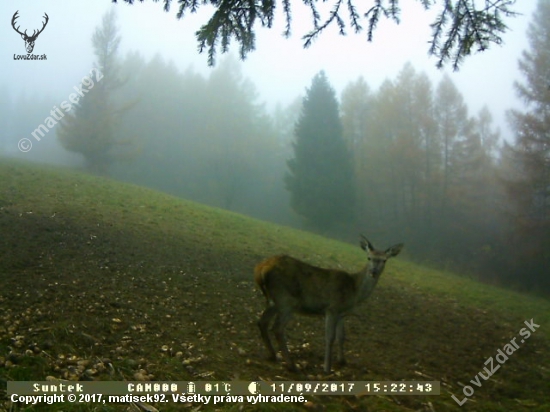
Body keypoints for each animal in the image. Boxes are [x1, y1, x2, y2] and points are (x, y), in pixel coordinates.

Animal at [256, 235, 406, 374]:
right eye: (369, 258)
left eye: (384, 260)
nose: (373, 272)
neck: (354, 291)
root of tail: (261, 269)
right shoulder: (332, 308)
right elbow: (330, 338)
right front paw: (327, 368)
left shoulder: (341, 313)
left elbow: (341, 336)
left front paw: (342, 361)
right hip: (286, 300)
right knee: (277, 328)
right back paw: (292, 365)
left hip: (274, 301)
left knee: (262, 321)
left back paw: (273, 355)